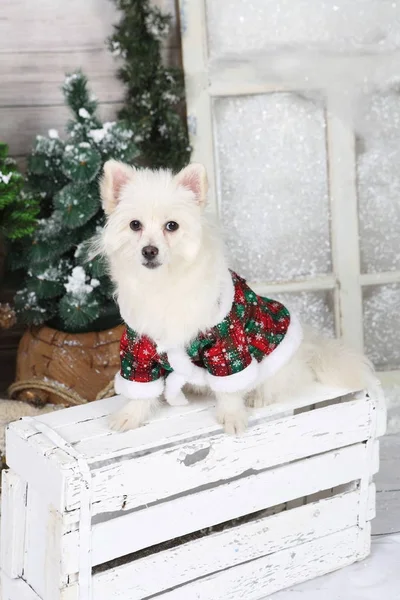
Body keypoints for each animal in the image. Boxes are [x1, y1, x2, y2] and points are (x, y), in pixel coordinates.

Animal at [99, 159, 378, 434]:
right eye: (135, 225)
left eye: (172, 226)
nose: (149, 250)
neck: (163, 283)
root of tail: (308, 349)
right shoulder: (139, 346)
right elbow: (140, 386)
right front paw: (131, 415)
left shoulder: (227, 343)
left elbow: (230, 390)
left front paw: (232, 416)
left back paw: (259, 396)